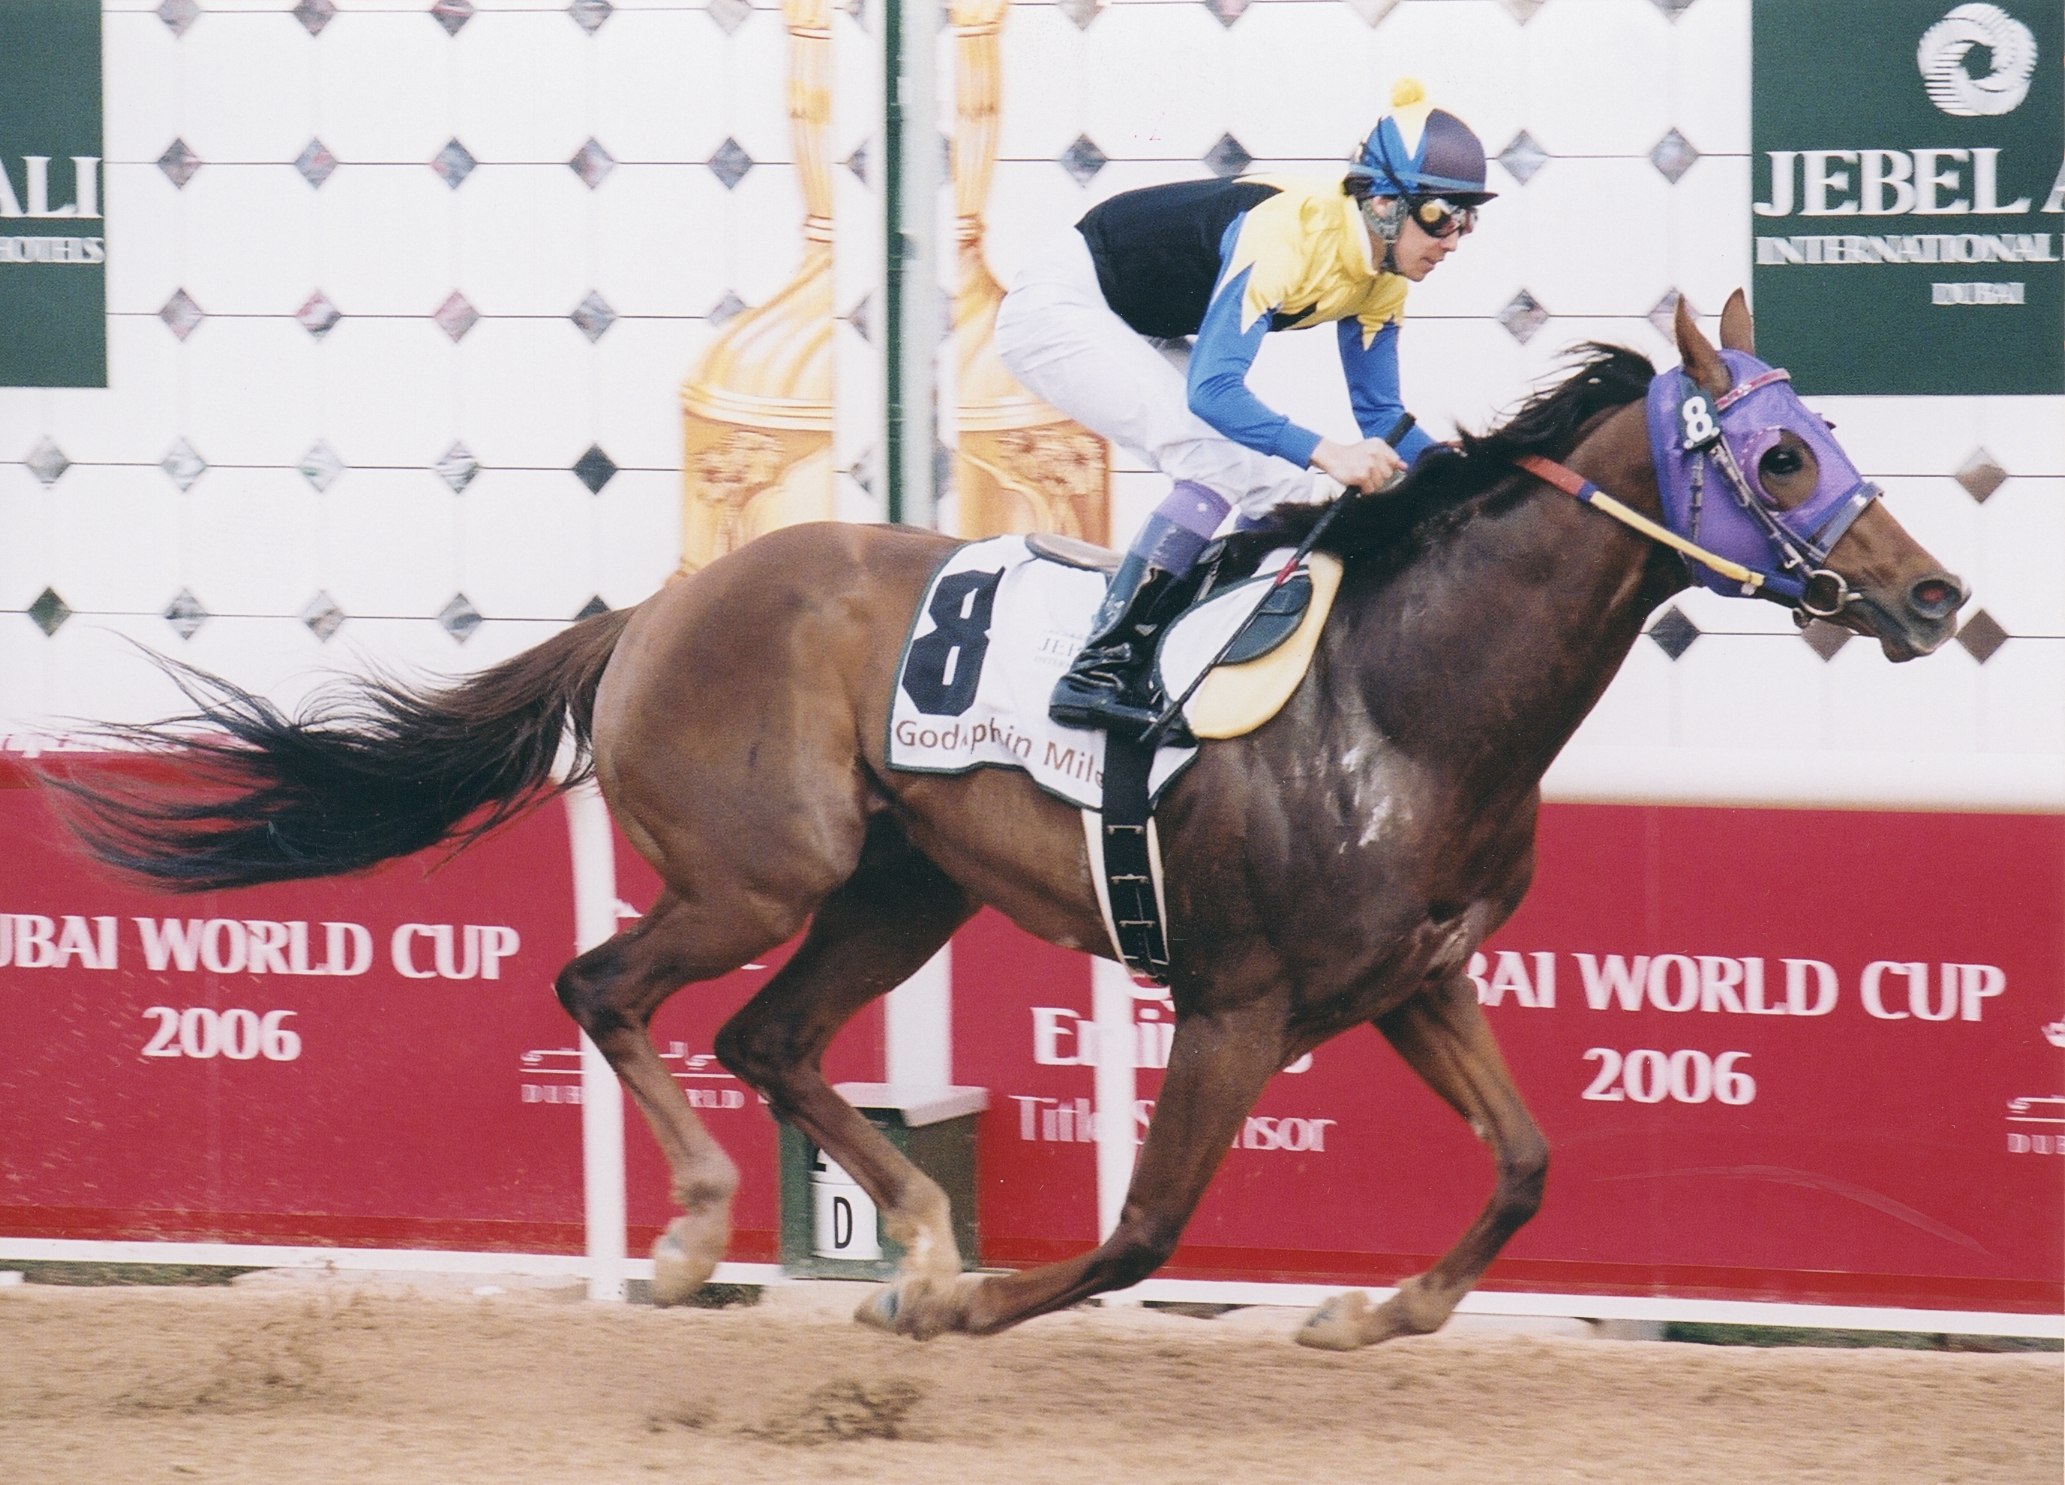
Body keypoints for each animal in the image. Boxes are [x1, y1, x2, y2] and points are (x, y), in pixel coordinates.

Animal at [56, 294, 1965, 1349]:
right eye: (1784, 459)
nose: (1937, 594)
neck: (1407, 697)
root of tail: (660, 603)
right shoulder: (1238, 1003)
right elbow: (1140, 1232)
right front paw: (965, 1303)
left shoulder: (1416, 979)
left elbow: (1526, 1164)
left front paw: (1373, 1308)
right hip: (764, 873)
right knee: (607, 989)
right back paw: (701, 1236)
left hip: (904, 890)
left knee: (767, 1037)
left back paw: (902, 1225)